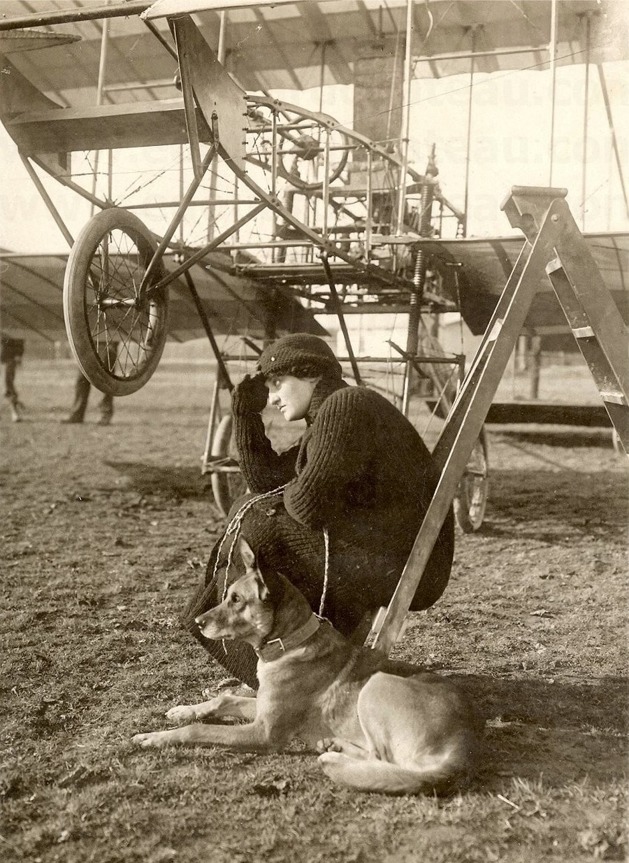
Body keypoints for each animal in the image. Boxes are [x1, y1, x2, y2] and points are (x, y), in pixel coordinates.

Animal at [132, 540, 484, 796]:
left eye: (236, 600)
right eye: (228, 596)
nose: (197, 622)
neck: (288, 643)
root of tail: (465, 745)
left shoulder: (264, 733)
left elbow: (199, 729)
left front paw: (156, 737)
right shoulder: (261, 709)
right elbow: (223, 699)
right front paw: (183, 710)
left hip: (376, 685)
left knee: (383, 760)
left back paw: (336, 755)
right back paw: (332, 745)